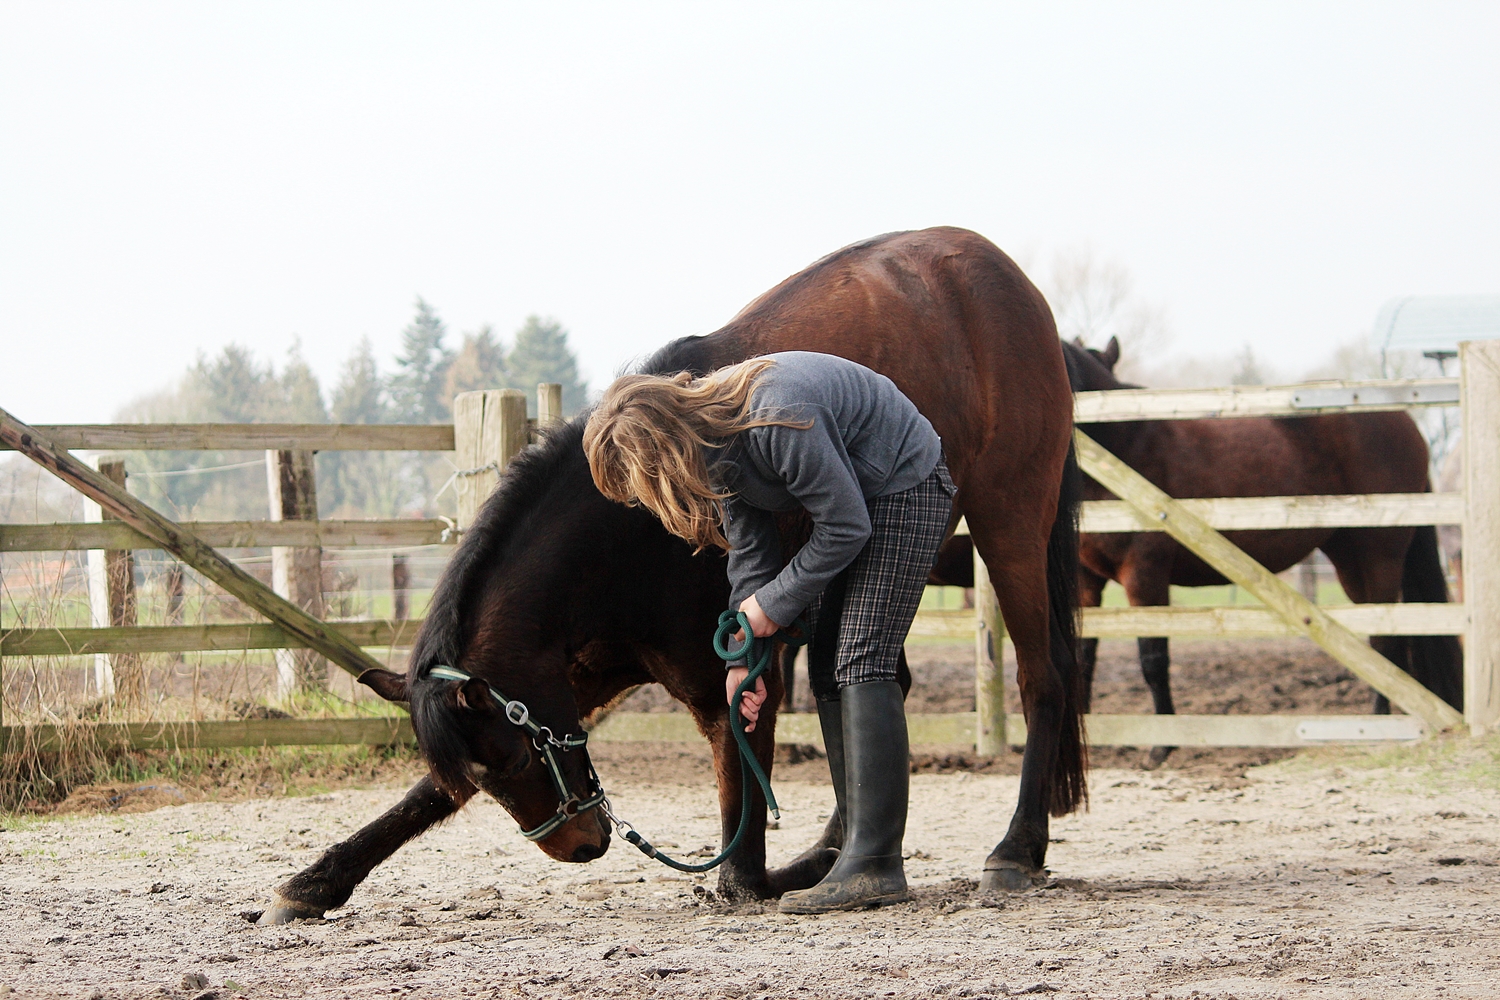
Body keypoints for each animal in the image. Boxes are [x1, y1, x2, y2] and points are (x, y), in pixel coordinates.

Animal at [255, 229, 1080, 923]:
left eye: (520, 757)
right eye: (484, 778)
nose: (582, 844)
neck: (626, 535)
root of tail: (1003, 277)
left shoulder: (727, 668)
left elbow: (739, 809)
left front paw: (749, 881)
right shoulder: (572, 678)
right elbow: (421, 798)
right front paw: (314, 883)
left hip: (1008, 525)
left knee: (1041, 680)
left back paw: (1013, 851)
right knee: (861, 684)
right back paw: (836, 858)